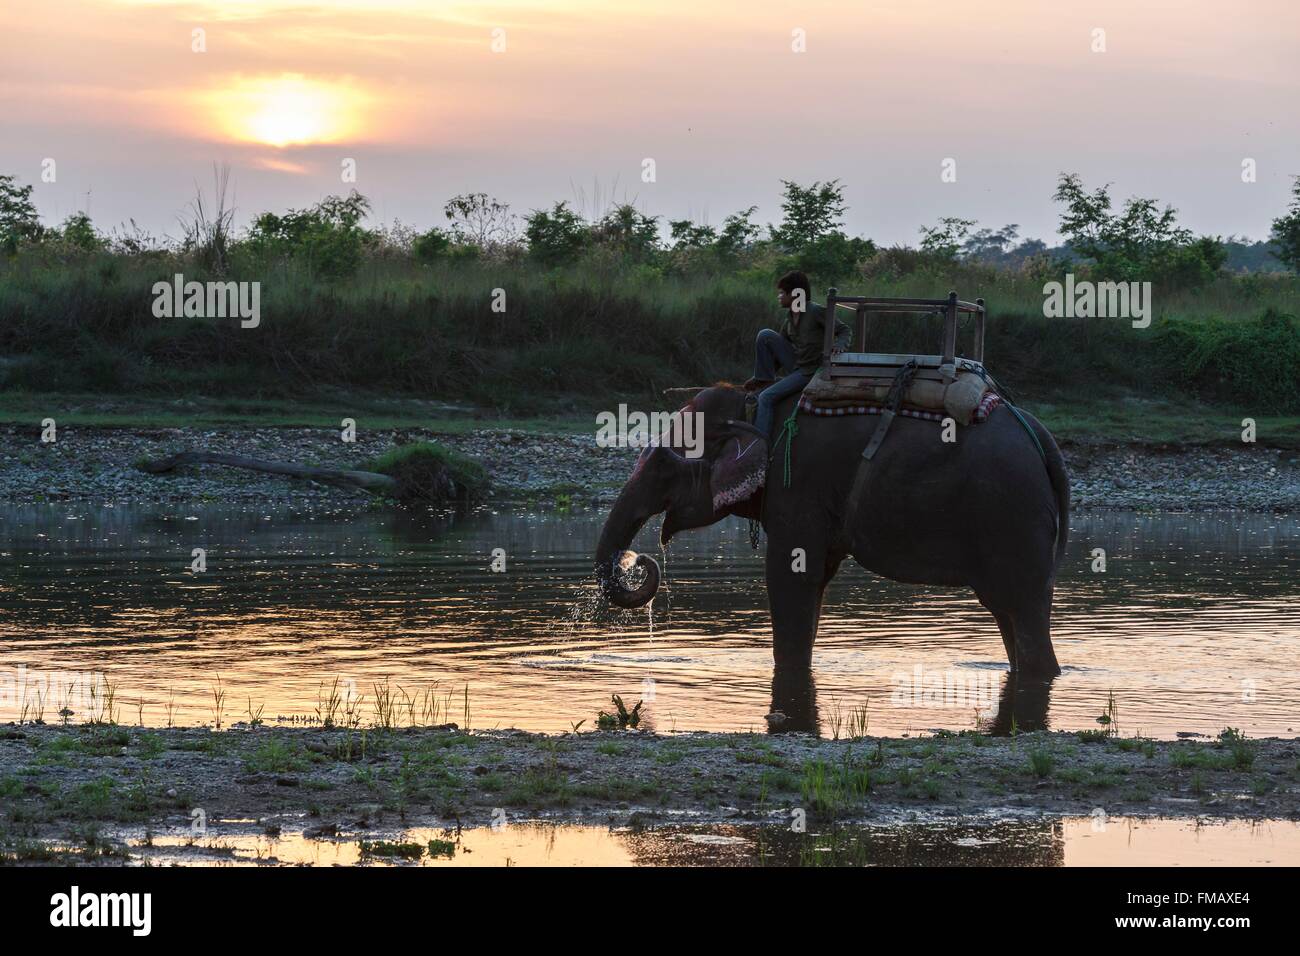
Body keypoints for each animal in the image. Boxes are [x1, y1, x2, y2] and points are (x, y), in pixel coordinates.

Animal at [595, 385, 1066, 676]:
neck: (751, 402)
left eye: (662, 464)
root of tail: (1042, 438)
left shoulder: (799, 482)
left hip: (1011, 515)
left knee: (1020, 607)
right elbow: (814, 578)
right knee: (1009, 609)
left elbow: (789, 577)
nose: (640, 561)